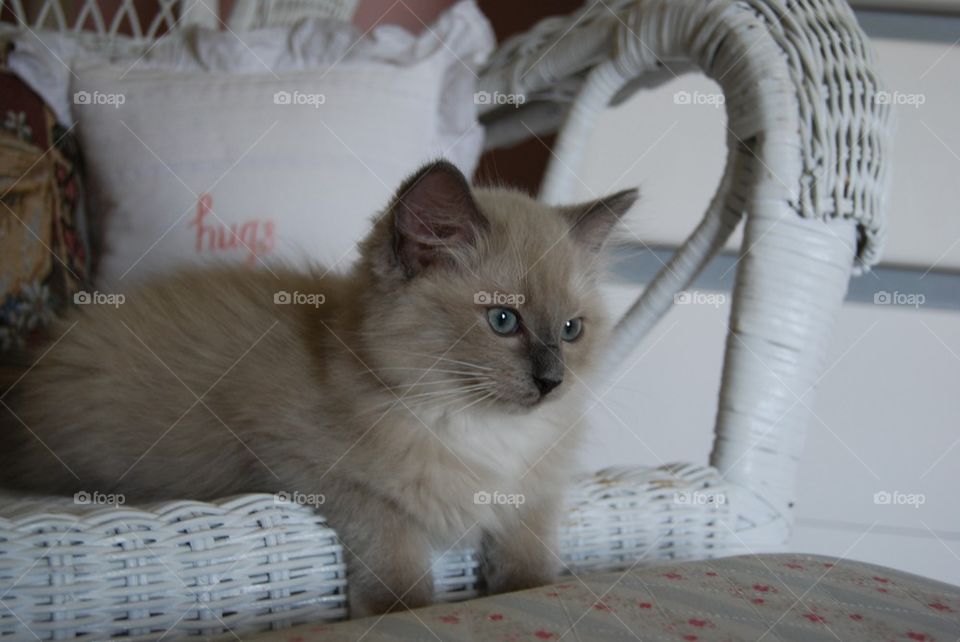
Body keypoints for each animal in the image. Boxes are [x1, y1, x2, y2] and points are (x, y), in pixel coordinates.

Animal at [0, 160, 636, 616]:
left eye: (572, 330)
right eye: (503, 321)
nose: (552, 382)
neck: (471, 427)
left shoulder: (535, 491)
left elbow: (532, 566)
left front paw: (525, 587)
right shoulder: (309, 469)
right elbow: (395, 555)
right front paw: (398, 611)